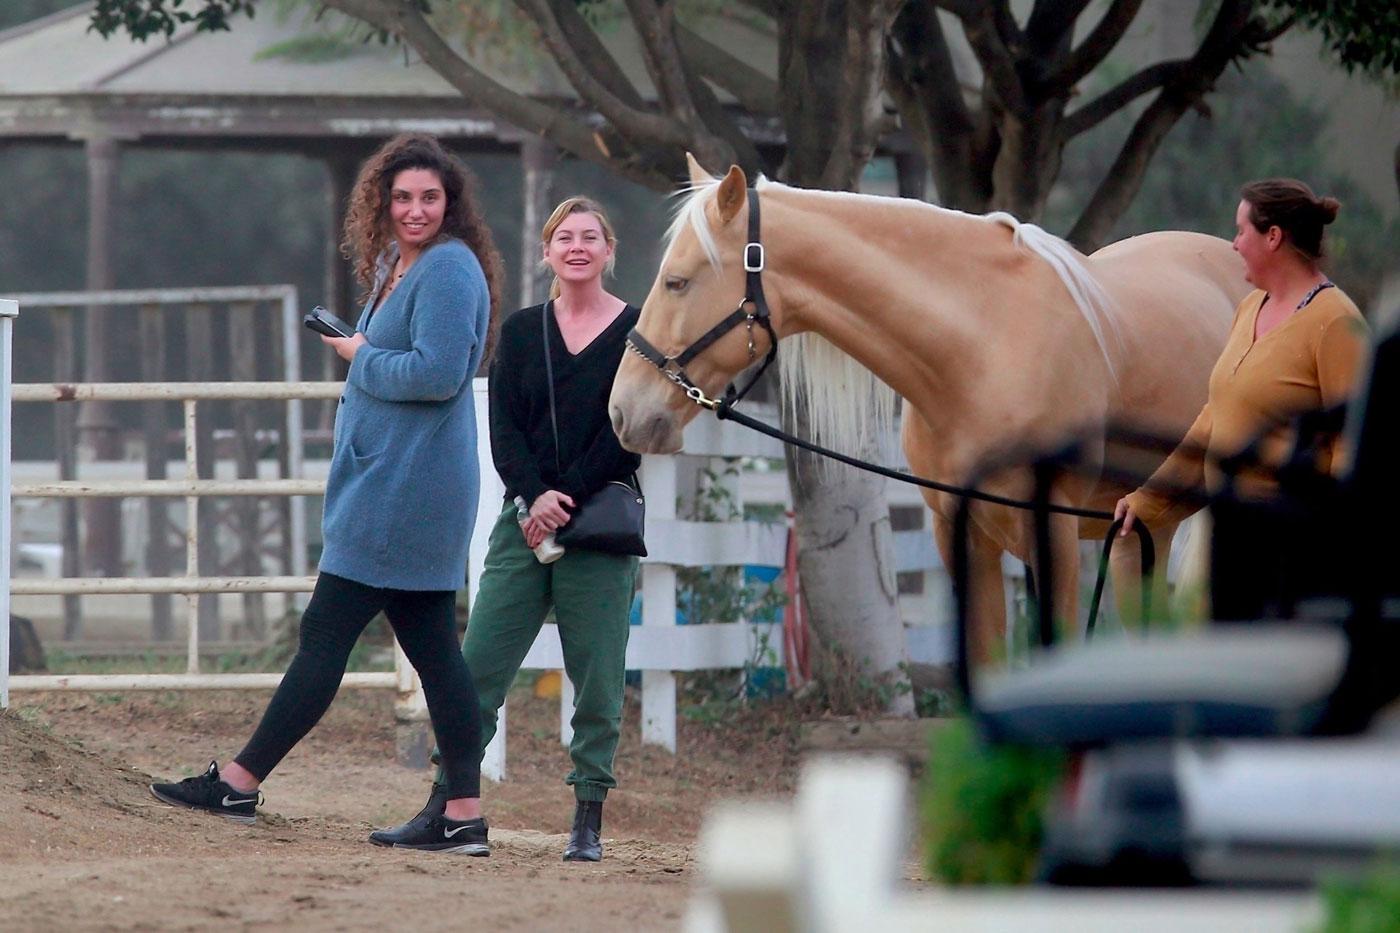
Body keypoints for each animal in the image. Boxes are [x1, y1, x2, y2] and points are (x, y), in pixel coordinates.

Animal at [613, 156, 1248, 661]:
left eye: (676, 282)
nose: (623, 412)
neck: (985, 347)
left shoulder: (1055, 536)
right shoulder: (960, 536)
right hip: (1142, 531)